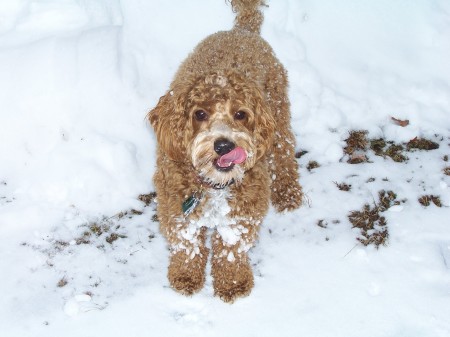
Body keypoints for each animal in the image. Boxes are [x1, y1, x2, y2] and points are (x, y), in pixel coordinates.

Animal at [149, 0, 302, 302]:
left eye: (241, 114)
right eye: (199, 113)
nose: (224, 145)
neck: (214, 184)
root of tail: (242, 31)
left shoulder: (243, 210)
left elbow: (231, 247)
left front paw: (232, 282)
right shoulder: (176, 206)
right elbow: (187, 244)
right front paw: (185, 276)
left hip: (278, 114)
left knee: (284, 152)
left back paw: (288, 193)